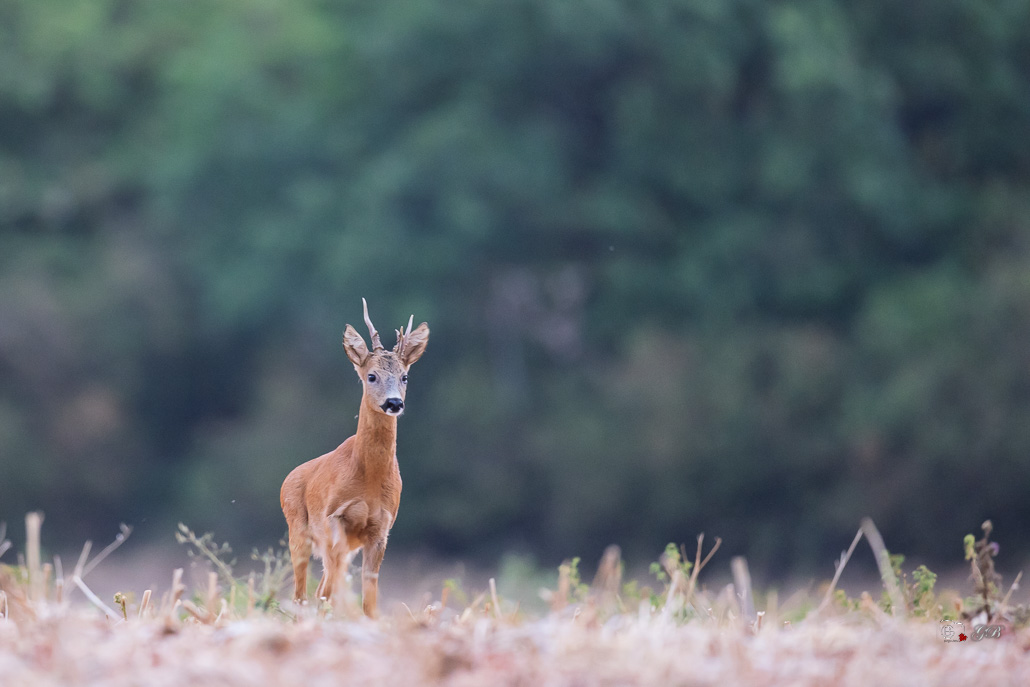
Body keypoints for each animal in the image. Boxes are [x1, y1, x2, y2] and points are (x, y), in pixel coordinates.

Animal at [280, 299, 429, 618]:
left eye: (405, 376)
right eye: (371, 376)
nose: (394, 403)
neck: (368, 478)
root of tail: (289, 476)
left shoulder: (382, 527)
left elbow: (369, 597)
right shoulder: (333, 517)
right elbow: (332, 589)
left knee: (322, 588)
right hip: (297, 529)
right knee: (303, 593)